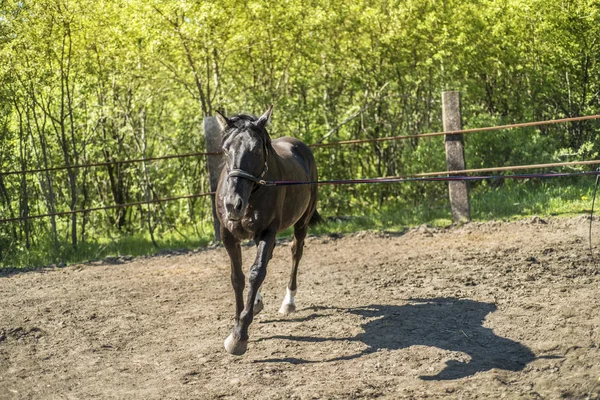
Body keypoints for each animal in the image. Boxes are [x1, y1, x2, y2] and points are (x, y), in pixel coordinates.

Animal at [214, 104, 322, 354]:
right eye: (225, 150)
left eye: (255, 150)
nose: (233, 204)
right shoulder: (228, 235)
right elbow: (238, 277)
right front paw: (239, 320)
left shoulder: (268, 232)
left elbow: (256, 273)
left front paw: (239, 336)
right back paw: (256, 304)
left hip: (301, 223)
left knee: (296, 253)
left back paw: (288, 303)